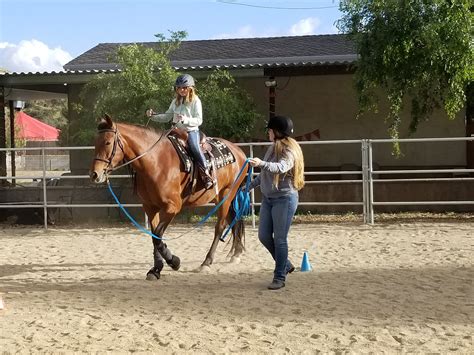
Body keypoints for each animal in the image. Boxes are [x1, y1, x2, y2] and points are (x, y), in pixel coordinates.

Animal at [90, 114, 250, 280]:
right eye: (95, 143)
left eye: (108, 142)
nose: (95, 174)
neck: (155, 162)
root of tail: (239, 152)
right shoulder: (150, 207)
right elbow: (154, 237)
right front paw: (156, 269)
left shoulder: (172, 207)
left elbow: (158, 236)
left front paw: (174, 261)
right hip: (222, 198)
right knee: (234, 219)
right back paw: (236, 254)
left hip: (227, 194)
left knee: (220, 227)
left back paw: (206, 262)